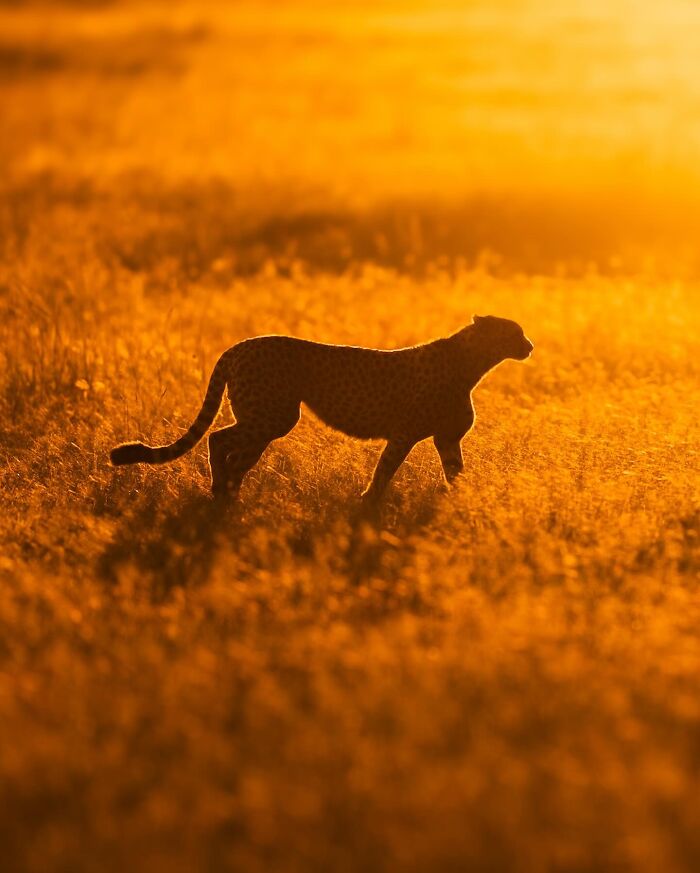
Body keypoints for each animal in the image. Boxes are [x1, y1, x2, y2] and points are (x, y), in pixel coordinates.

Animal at [110, 315, 533, 503]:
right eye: (514, 332)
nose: (529, 345)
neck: (473, 362)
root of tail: (240, 345)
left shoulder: (446, 439)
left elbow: (455, 475)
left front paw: (463, 503)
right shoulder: (404, 434)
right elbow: (385, 469)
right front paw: (368, 503)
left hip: (267, 419)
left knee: (236, 454)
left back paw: (228, 493)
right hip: (273, 416)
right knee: (217, 439)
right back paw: (221, 491)